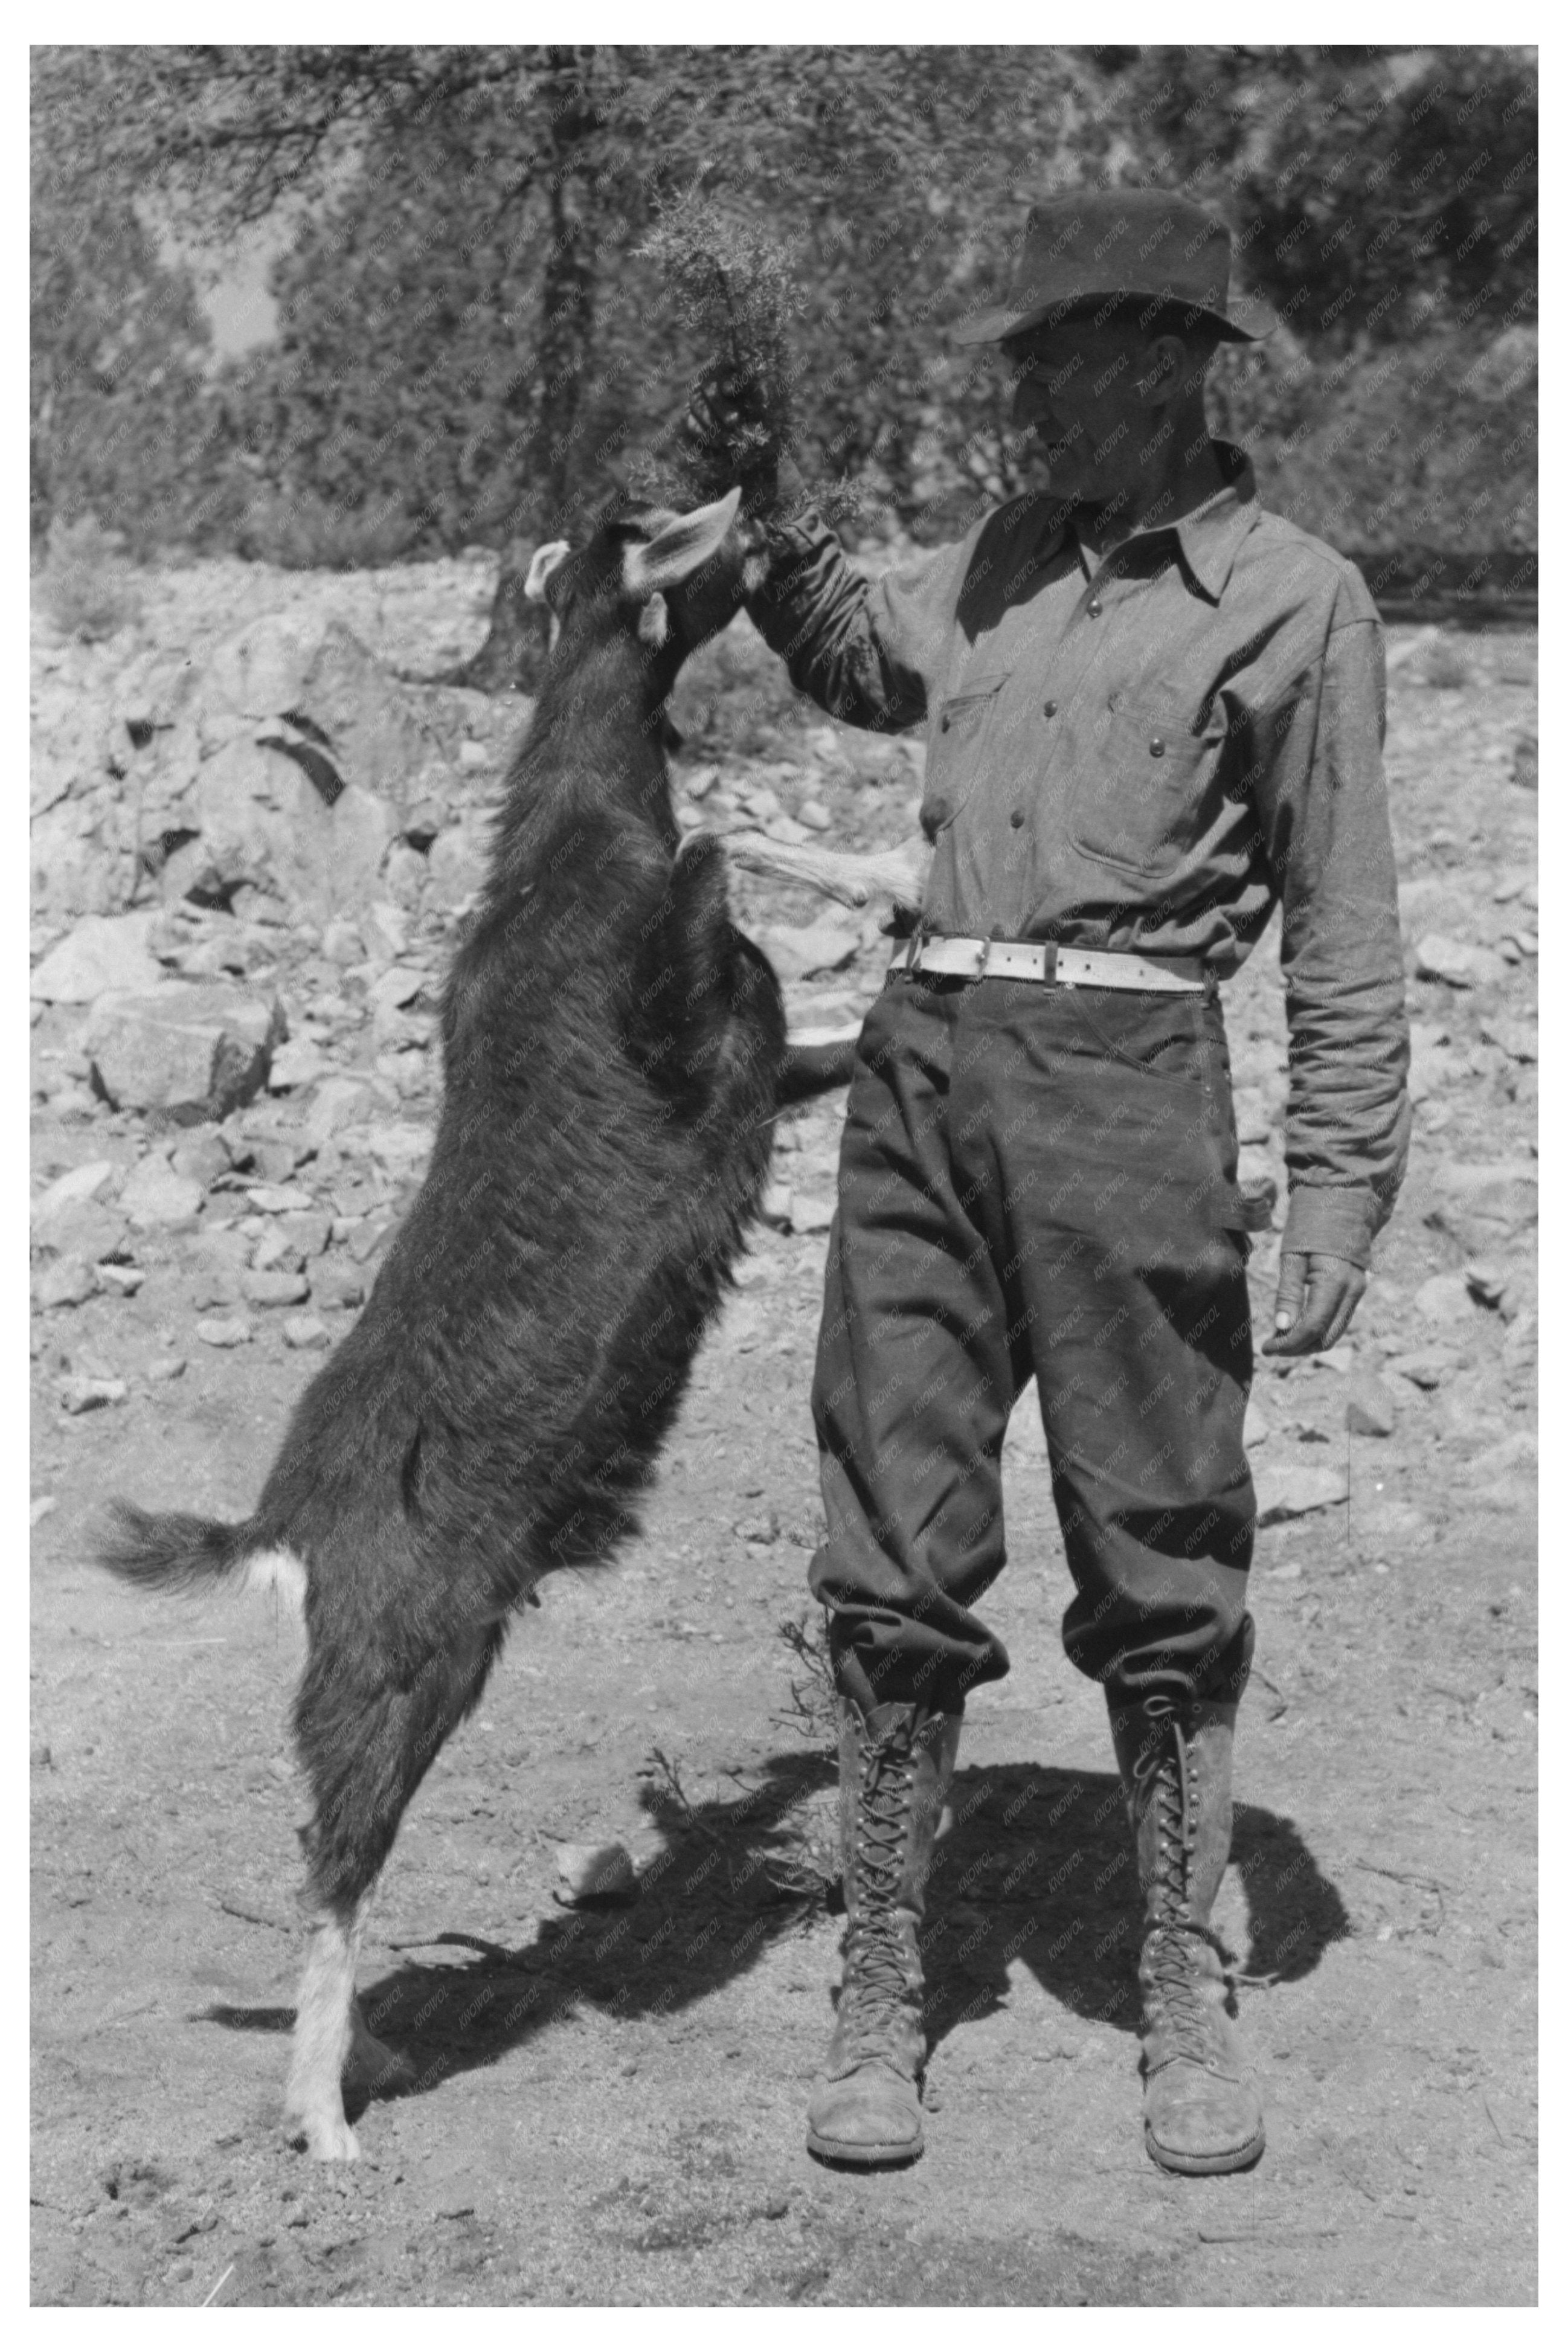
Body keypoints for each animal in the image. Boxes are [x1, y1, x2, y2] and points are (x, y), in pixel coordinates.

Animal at [97, 486, 846, 2161]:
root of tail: (279, 1533)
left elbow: (832, 1035)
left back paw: (362, 2065)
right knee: (332, 1866)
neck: (573, 835)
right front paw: (769, 839)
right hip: (400, 1678)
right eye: (658, 533)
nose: (758, 517)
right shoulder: (671, 1023)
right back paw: (325, 2120)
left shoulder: (759, 1065)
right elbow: (707, 876)